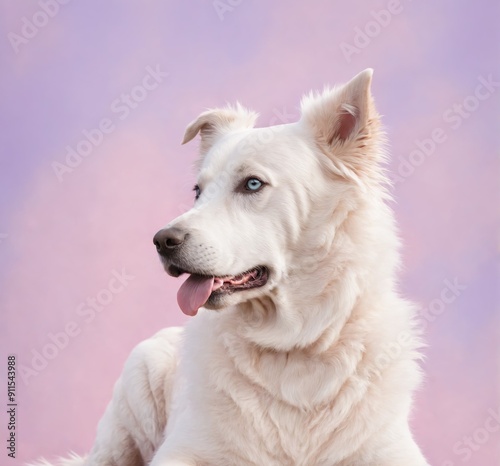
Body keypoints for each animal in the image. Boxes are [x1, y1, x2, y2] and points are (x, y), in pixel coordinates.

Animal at [32, 70, 430, 466]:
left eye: (252, 184)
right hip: (137, 381)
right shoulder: (182, 450)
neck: (292, 345)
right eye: (198, 192)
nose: (162, 241)